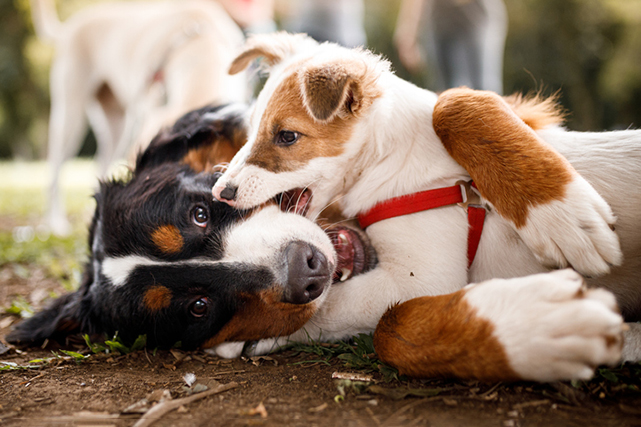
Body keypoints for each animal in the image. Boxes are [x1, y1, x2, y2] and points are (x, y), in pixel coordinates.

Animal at [31, 0, 249, 237]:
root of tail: (71, 25)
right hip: (70, 115)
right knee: (55, 170)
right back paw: (56, 222)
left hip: (118, 125)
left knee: (100, 163)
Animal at [211, 33, 640, 382]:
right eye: (250, 130)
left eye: (287, 136)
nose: (221, 192)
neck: (391, 159)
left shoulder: (420, 280)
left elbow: (371, 315)